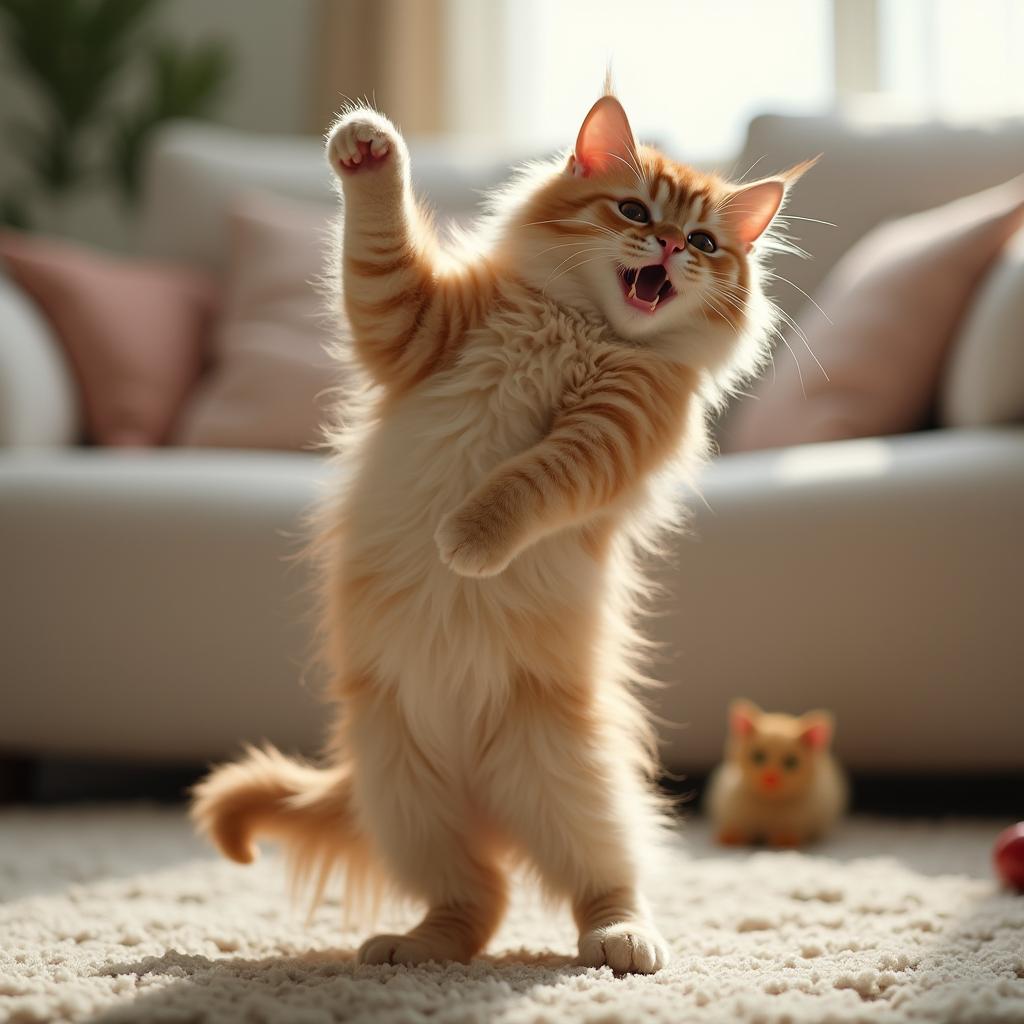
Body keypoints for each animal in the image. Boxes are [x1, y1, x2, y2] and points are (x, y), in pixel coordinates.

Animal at [192, 90, 815, 974]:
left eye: (703, 243)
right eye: (634, 211)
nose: (667, 245)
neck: (579, 325)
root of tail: (489, 806)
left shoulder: (616, 432)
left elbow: (526, 482)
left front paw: (467, 544)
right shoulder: (416, 321)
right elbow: (377, 246)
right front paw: (367, 149)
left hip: (573, 788)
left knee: (597, 882)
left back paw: (621, 941)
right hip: (409, 799)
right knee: (475, 901)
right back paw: (413, 947)